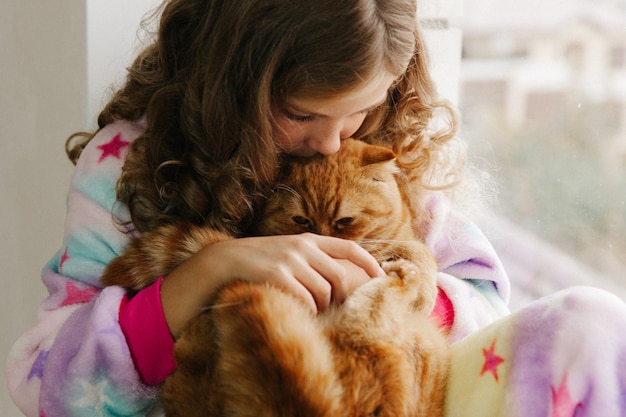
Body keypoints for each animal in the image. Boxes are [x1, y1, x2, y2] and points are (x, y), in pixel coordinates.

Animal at [100, 138, 446, 414]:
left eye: (345, 221)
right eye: (301, 220)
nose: (322, 240)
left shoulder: (401, 240)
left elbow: (419, 253)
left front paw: (418, 281)